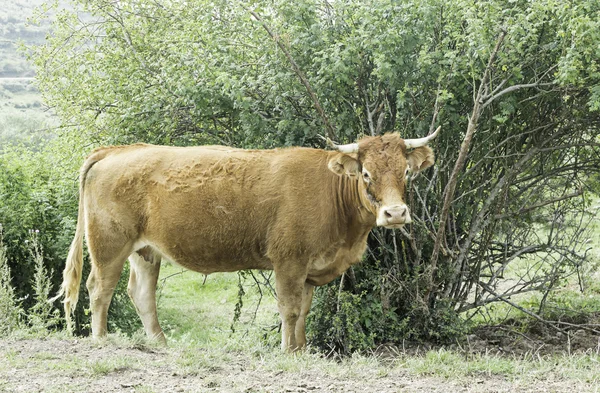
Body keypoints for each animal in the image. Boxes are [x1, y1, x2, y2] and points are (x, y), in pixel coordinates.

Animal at [55, 127, 440, 350]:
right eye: (366, 174)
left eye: (406, 171)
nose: (395, 213)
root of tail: (117, 150)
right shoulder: (288, 261)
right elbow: (289, 309)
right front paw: (287, 352)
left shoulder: (309, 268)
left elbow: (304, 311)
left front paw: (302, 350)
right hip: (109, 245)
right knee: (99, 289)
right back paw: (101, 340)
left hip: (146, 251)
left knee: (141, 294)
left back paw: (161, 344)